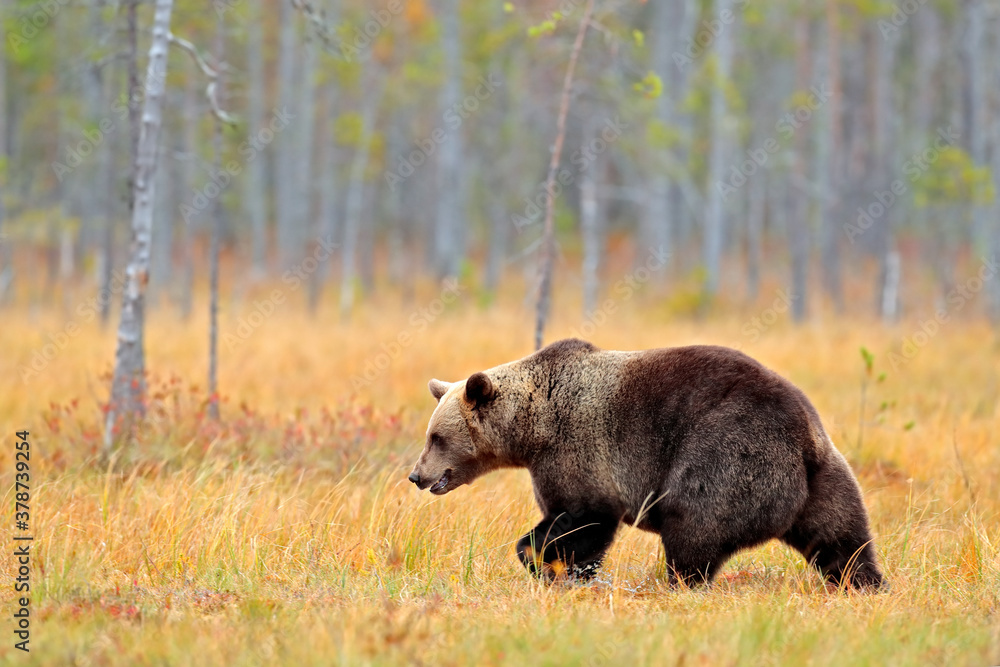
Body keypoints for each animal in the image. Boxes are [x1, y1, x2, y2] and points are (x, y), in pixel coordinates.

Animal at [406, 340, 884, 588]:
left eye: (436, 437)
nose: (417, 475)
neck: (532, 426)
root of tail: (800, 435)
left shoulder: (579, 449)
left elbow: (579, 519)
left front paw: (544, 561)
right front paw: (565, 570)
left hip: (726, 452)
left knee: (694, 526)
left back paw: (680, 582)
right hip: (826, 474)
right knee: (841, 535)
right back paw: (864, 581)